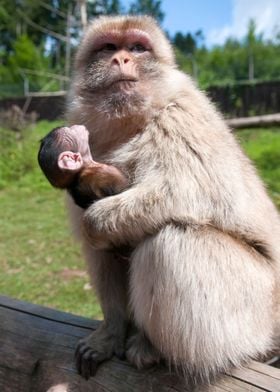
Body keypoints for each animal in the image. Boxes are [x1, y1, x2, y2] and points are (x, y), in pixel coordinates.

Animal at [68, 15, 280, 382]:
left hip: (254, 308)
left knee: (170, 242)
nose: (121, 59)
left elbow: (183, 192)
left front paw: (97, 217)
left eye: (137, 47)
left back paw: (154, 347)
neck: (131, 123)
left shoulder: (179, 117)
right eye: (108, 47)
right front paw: (110, 333)